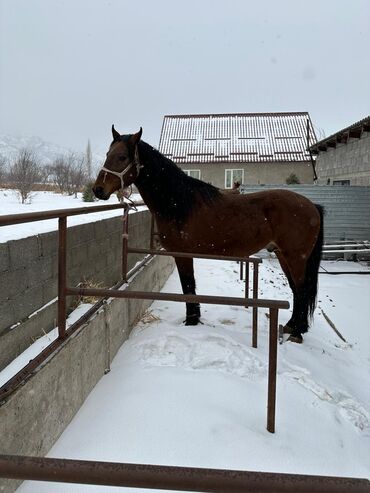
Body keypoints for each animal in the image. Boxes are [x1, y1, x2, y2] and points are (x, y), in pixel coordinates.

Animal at [93, 126, 324, 342]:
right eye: (107, 154)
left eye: (122, 157)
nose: (97, 190)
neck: (179, 203)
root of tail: (312, 206)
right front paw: (194, 319)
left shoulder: (183, 254)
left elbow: (188, 286)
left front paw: (192, 321)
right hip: (283, 255)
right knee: (296, 290)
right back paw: (292, 326)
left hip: (296, 257)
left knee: (302, 289)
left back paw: (297, 332)